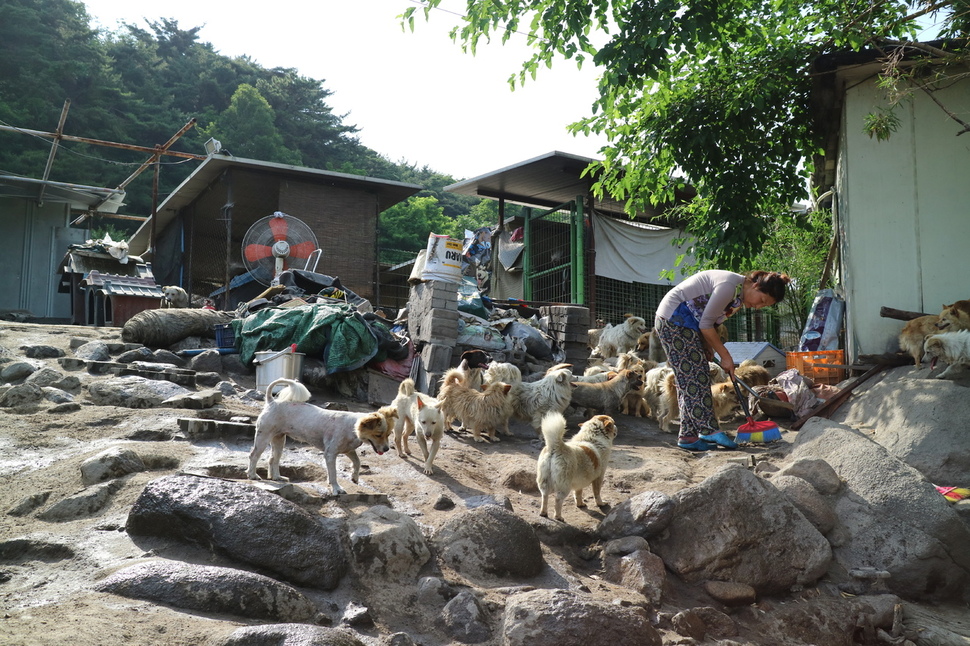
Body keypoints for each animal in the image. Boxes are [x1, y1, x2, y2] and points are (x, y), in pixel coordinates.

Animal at [248, 380, 396, 496]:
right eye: (378, 435)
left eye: (388, 434)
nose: (387, 449)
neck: (352, 427)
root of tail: (272, 402)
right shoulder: (330, 454)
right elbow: (333, 474)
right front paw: (336, 489)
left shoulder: (348, 450)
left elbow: (357, 462)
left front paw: (354, 477)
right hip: (263, 437)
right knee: (253, 455)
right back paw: (252, 475)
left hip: (279, 439)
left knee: (273, 459)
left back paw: (277, 477)